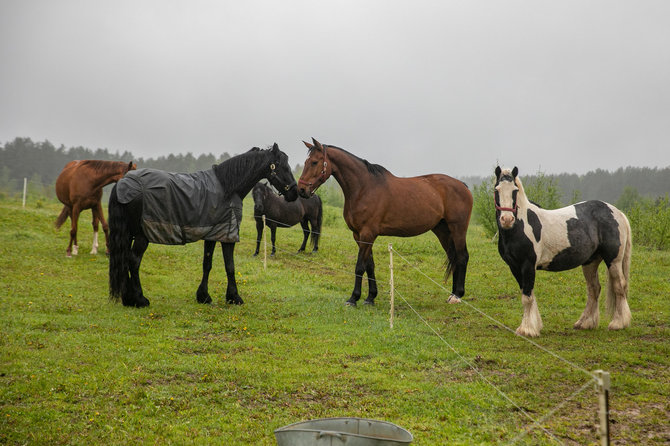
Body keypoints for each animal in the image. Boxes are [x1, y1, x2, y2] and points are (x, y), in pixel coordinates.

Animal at [109, 145, 298, 308]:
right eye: (283, 166)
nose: (295, 193)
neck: (228, 187)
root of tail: (122, 183)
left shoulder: (212, 234)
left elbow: (207, 264)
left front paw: (204, 296)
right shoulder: (228, 235)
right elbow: (230, 266)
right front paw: (234, 297)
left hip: (129, 235)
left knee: (124, 260)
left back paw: (128, 299)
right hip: (142, 236)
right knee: (133, 261)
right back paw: (139, 299)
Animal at [296, 139, 476, 306]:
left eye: (314, 162)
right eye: (305, 162)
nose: (301, 190)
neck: (364, 188)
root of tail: (463, 186)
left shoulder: (367, 234)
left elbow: (360, 266)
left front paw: (353, 298)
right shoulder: (359, 235)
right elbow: (370, 266)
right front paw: (370, 297)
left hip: (458, 229)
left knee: (462, 257)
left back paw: (458, 295)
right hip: (442, 230)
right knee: (453, 257)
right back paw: (452, 293)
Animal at [494, 167, 636, 338]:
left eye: (515, 191)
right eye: (496, 190)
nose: (507, 219)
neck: (520, 227)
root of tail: (617, 212)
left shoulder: (527, 265)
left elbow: (527, 297)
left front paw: (527, 329)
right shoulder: (515, 267)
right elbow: (527, 294)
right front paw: (535, 326)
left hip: (613, 261)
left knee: (619, 286)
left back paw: (618, 323)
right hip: (590, 262)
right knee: (594, 289)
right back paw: (585, 323)